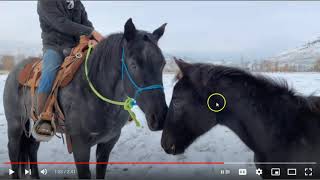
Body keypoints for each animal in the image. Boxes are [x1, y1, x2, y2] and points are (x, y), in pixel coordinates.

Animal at [3, 18, 169, 179]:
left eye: (163, 64)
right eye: (133, 65)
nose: (160, 118)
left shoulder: (108, 142)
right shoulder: (80, 145)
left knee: (32, 148)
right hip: (15, 124)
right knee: (13, 151)